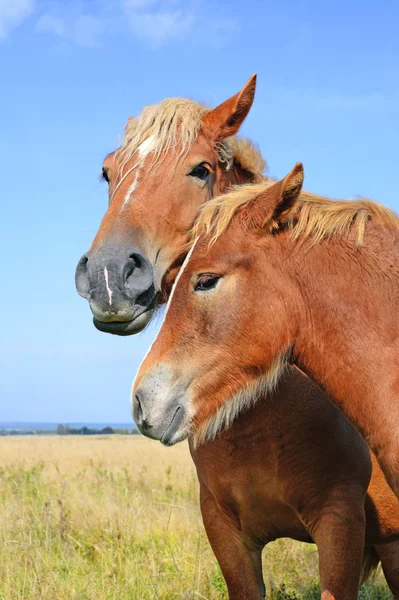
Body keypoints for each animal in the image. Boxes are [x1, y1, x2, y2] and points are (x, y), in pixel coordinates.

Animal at [76, 81, 399, 600]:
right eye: (107, 171)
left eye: (200, 169)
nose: (108, 278)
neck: (263, 425)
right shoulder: (226, 532)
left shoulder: (341, 524)